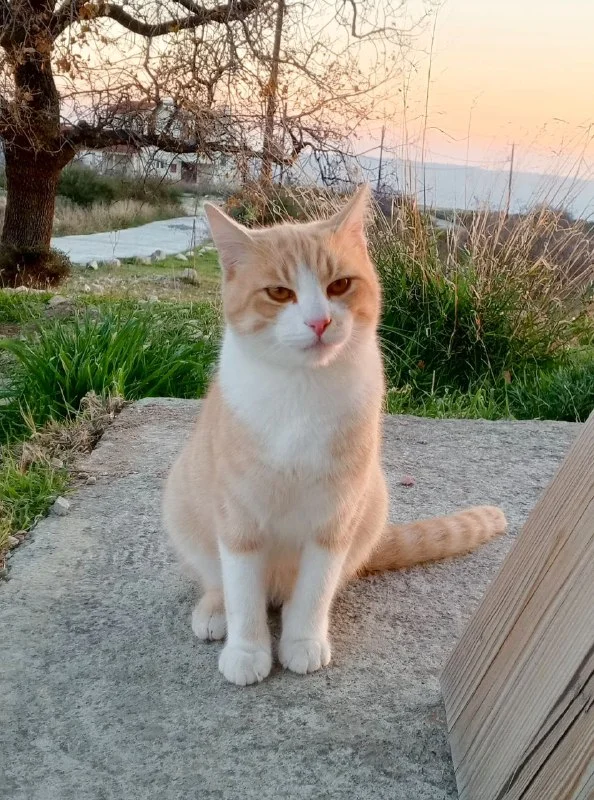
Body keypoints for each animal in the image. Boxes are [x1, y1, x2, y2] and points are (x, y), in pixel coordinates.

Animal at [162, 185, 506, 686]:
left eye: (339, 286)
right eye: (279, 293)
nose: (319, 322)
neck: (303, 393)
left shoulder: (336, 515)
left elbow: (316, 588)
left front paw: (303, 640)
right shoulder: (239, 518)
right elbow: (242, 591)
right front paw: (247, 650)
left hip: (372, 502)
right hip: (183, 500)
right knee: (217, 577)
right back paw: (215, 610)